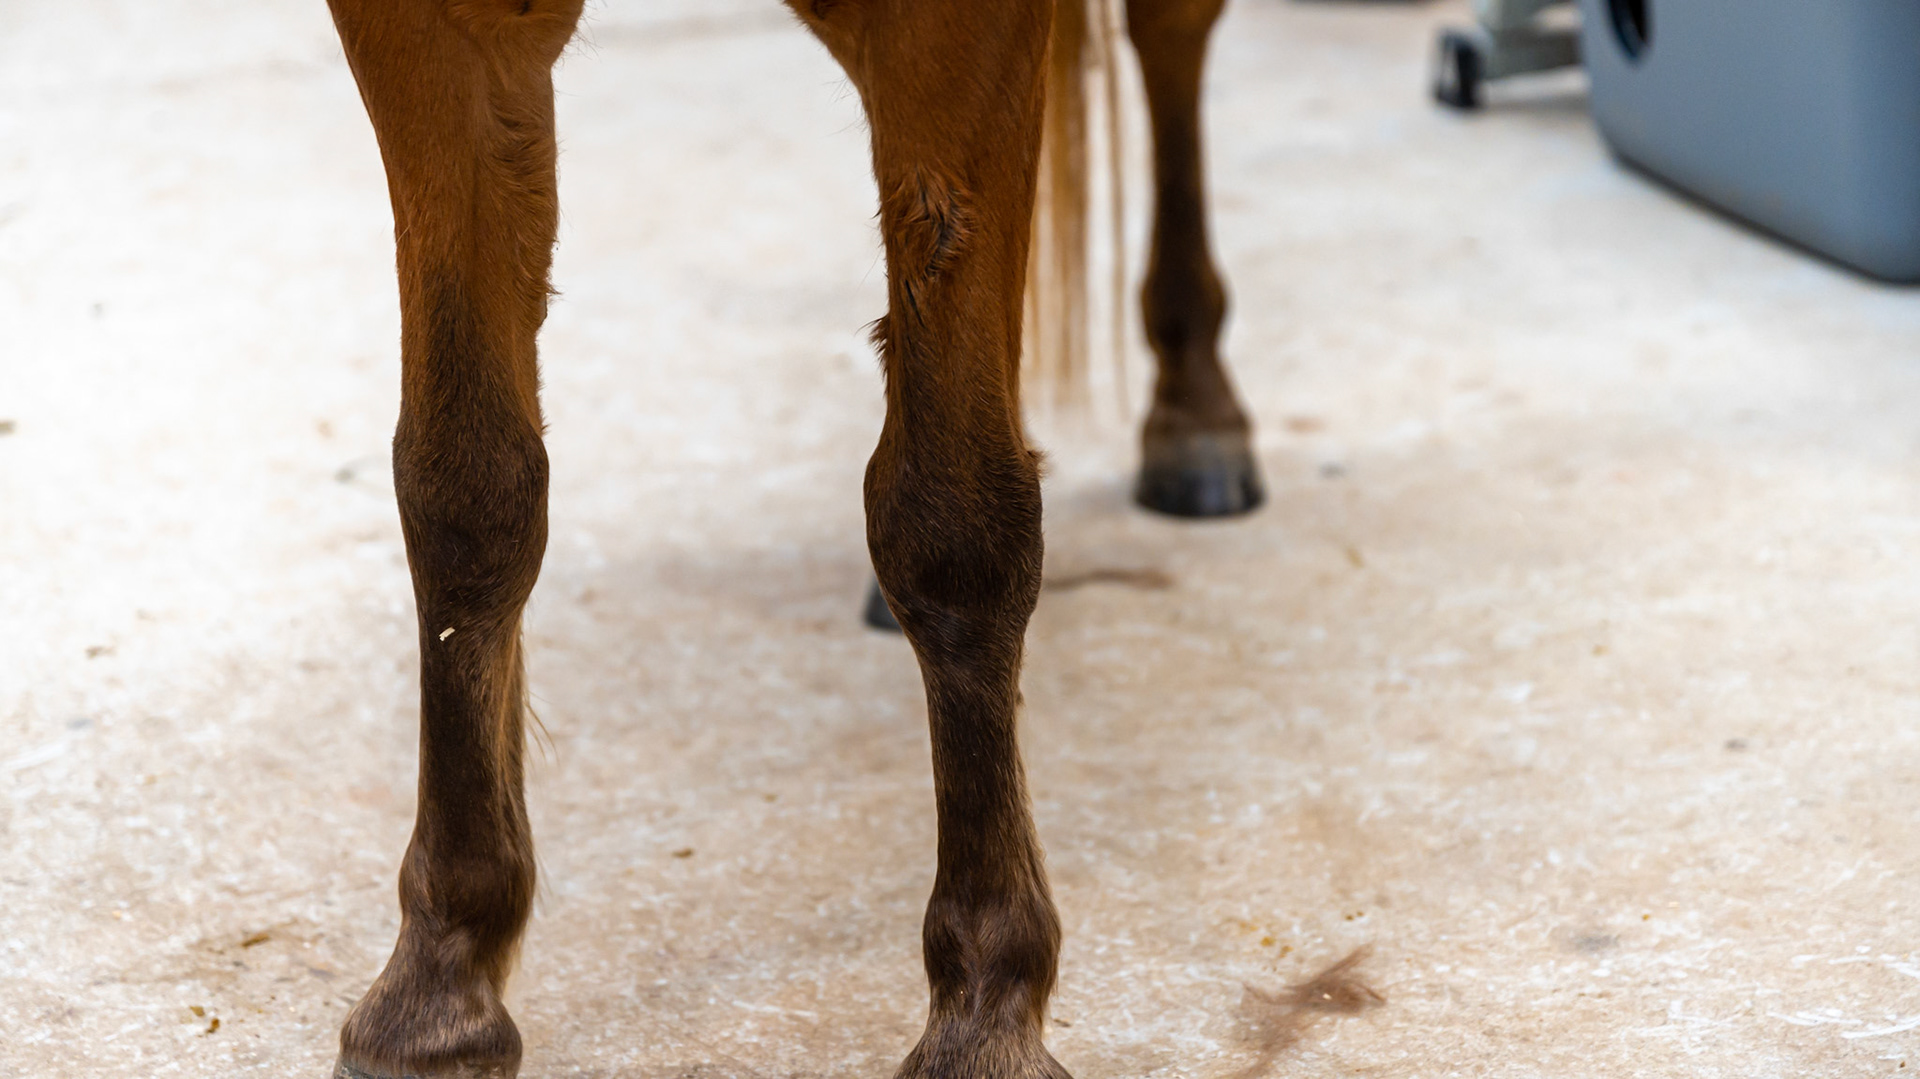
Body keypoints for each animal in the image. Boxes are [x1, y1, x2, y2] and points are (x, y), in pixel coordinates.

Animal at [323, 1, 1258, 1076]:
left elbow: (954, 517)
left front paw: (986, 1007)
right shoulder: (434, 38)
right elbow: (466, 492)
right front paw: (441, 983)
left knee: (1170, 39)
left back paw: (1197, 411)